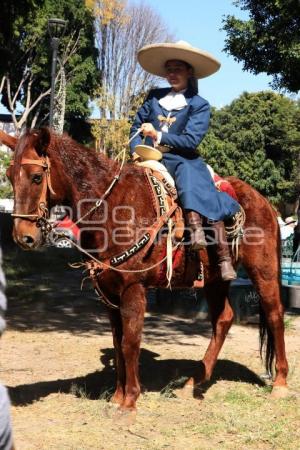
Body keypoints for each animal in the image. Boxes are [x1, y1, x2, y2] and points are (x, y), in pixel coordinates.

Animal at [1, 126, 288, 412]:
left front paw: (129, 401)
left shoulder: (133, 289)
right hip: (215, 280)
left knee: (275, 314)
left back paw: (280, 383)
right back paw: (194, 381)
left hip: (263, 270)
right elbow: (117, 342)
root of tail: (263, 202)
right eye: (9, 176)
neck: (113, 208)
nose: (23, 237)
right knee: (224, 319)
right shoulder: (108, 294)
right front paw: (117, 396)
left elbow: (130, 342)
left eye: (37, 177)